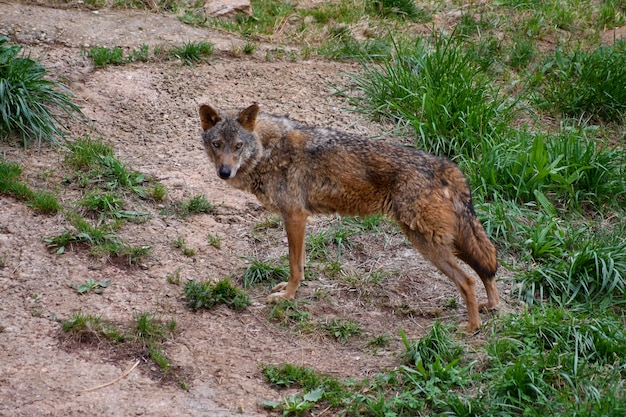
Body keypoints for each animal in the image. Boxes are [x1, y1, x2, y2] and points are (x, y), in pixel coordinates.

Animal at [197, 102, 500, 330]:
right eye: (217, 144)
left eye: (238, 145)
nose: (224, 172)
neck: (266, 149)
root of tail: (447, 167)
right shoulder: (299, 220)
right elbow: (301, 264)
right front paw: (290, 290)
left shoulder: (295, 216)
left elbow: (294, 266)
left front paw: (286, 297)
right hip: (449, 242)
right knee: (486, 268)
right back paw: (490, 306)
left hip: (428, 244)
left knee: (468, 280)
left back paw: (471, 327)